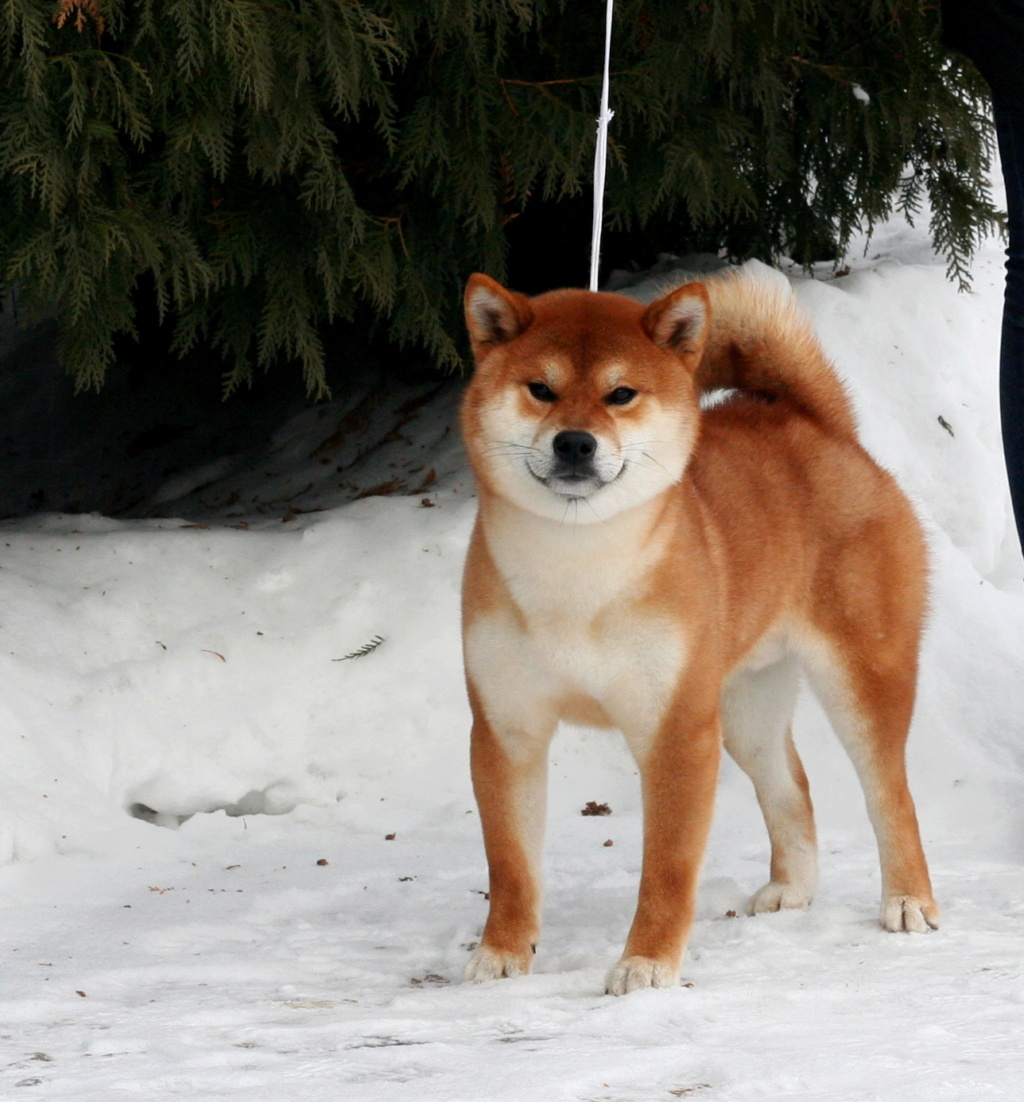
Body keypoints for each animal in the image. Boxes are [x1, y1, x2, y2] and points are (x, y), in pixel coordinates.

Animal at [458, 271, 939, 996]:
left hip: (861, 678)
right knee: (791, 786)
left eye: (621, 394)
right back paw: (792, 888)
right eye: (540, 388)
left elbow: (667, 868)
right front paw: (504, 952)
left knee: (892, 795)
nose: (575, 442)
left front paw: (647, 963)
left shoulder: (677, 731)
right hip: (744, 707)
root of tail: (819, 424)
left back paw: (908, 899)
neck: (576, 573)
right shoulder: (506, 729)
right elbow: (510, 864)